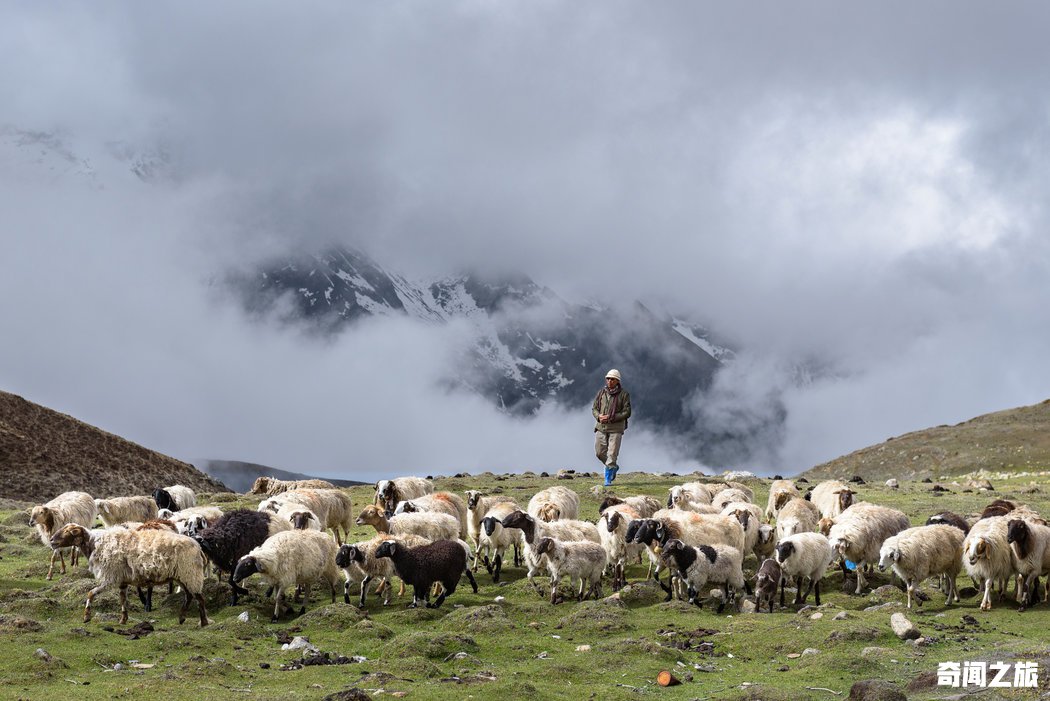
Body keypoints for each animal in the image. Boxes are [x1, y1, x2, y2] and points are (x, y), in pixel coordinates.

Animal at [50, 522, 209, 625]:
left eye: (67, 532)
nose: (51, 540)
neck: (93, 544)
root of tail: (198, 548)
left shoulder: (110, 577)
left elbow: (90, 593)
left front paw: (86, 617)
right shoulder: (122, 580)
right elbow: (122, 600)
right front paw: (123, 619)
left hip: (190, 573)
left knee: (200, 599)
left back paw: (203, 622)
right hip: (184, 576)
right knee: (189, 596)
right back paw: (182, 618)